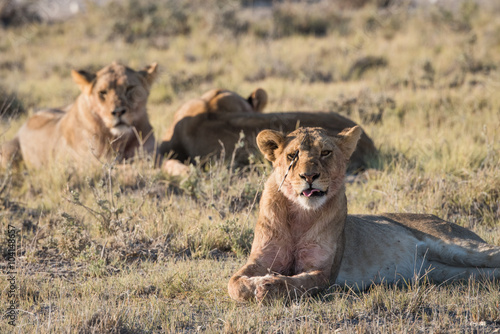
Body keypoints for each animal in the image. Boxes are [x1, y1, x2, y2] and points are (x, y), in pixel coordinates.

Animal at [0, 61, 157, 168]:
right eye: (103, 92)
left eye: (129, 88)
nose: (118, 112)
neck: (121, 139)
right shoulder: (97, 163)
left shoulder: (149, 153)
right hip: (8, 151)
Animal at [228, 126, 500, 302]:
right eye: (292, 155)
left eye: (325, 153)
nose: (309, 176)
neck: (299, 215)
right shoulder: (260, 259)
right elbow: (234, 282)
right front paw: (254, 285)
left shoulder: (324, 272)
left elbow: (296, 283)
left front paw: (268, 285)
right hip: (449, 273)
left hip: (455, 245)